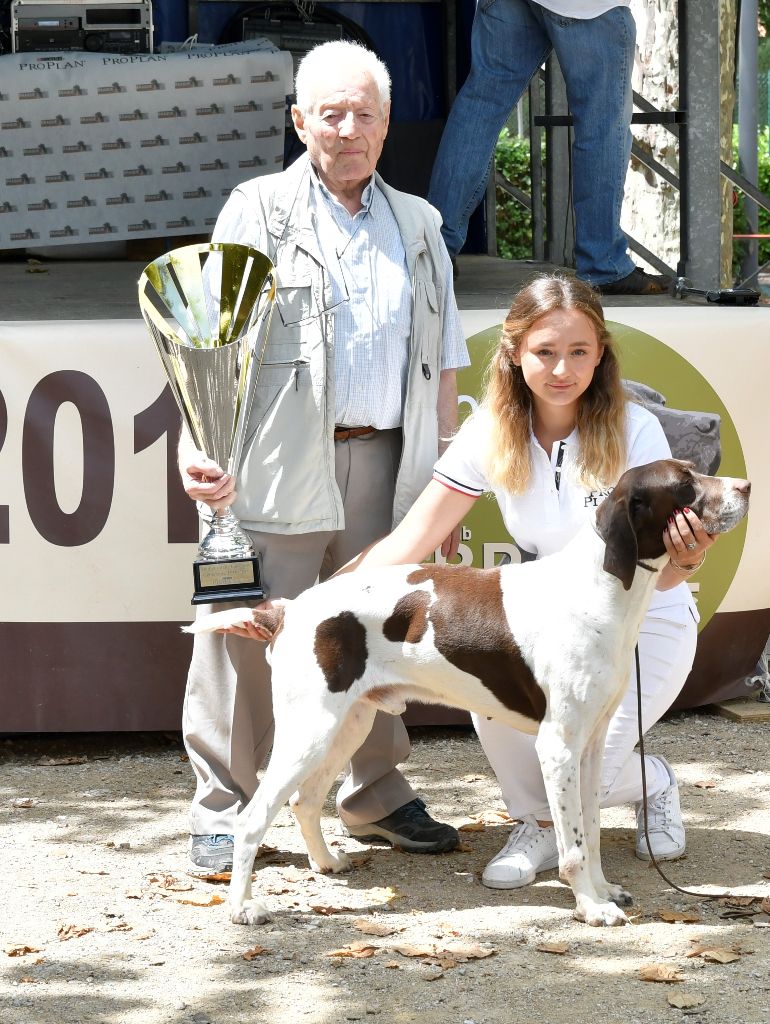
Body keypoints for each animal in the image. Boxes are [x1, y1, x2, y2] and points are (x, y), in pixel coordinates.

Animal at [188, 462, 753, 929]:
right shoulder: (559, 747)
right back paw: (242, 908)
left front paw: (603, 891)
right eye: (685, 483)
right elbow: (571, 845)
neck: (601, 589)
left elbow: (589, 832)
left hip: (347, 725)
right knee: (251, 818)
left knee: (304, 800)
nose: (747, 487)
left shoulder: (591, 747)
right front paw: (591, 908)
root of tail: (286, 610)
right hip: (311, 730)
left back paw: (326, 862)